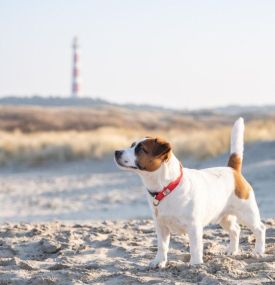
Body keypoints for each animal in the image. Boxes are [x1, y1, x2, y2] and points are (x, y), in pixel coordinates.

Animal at [113, 117, 266, 266]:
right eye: (132, 145)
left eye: (140, 149)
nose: (116, 152)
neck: (167, 187)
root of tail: (233, 170)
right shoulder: (161, 226)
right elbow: (162, 246)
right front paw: (159, 261)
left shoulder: (194, 227)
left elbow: (195, 247)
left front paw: (195, 264)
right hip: (224, 217)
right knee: (235, 230)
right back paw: (232, 250)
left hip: (247, 213)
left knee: (260, 229)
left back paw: (258, 251)